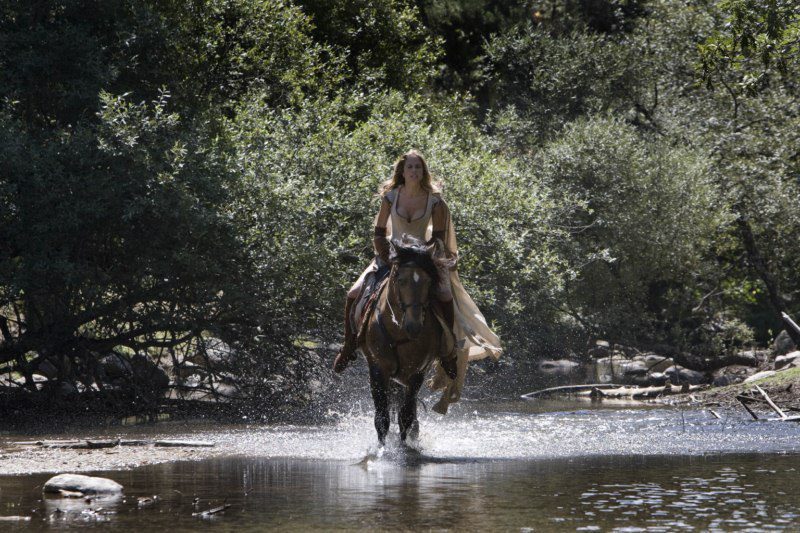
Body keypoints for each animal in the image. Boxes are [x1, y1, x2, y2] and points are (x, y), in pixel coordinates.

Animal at [360, 235, 454, 442]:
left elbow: (406, 415)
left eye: (428, 281)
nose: (414, 325)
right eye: (400, 280)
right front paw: (383, 447)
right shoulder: (378, 369)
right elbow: (382, 418)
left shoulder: (417, 373)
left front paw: (404, 445)